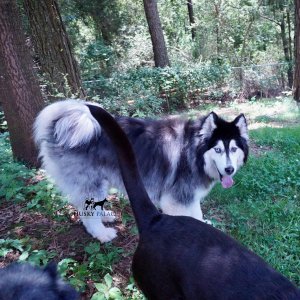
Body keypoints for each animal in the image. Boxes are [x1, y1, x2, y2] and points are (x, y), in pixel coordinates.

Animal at [33, 99, 248, 243]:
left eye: (233, 149)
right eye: (218, 149)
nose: (229, 169)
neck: (193, 150)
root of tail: (60, 124)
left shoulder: (189, 196)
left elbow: (197, 215)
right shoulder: (176, 199)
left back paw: (105, 216)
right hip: (90, 183)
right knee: (87, 214)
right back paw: (102, 233)